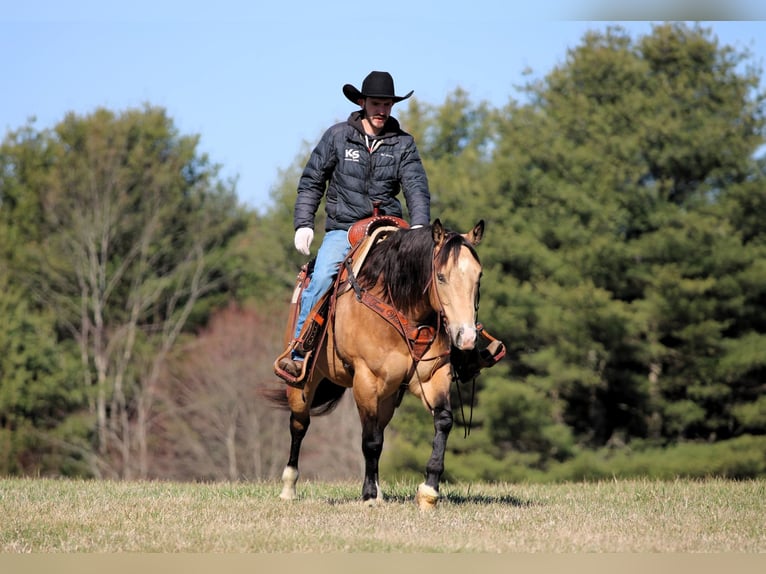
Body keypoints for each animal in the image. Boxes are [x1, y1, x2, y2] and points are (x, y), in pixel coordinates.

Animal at [271, 219, 485, 510]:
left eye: (479, 276)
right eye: (441, 277)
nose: (467, 337)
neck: (401, 309)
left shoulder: (433, 377)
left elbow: (442, 421)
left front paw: (428, 490)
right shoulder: (366, 379)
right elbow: (370, 441)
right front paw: (370, 495)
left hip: (388, 396)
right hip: (302, 384)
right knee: (299, 425)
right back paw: (289, 487)